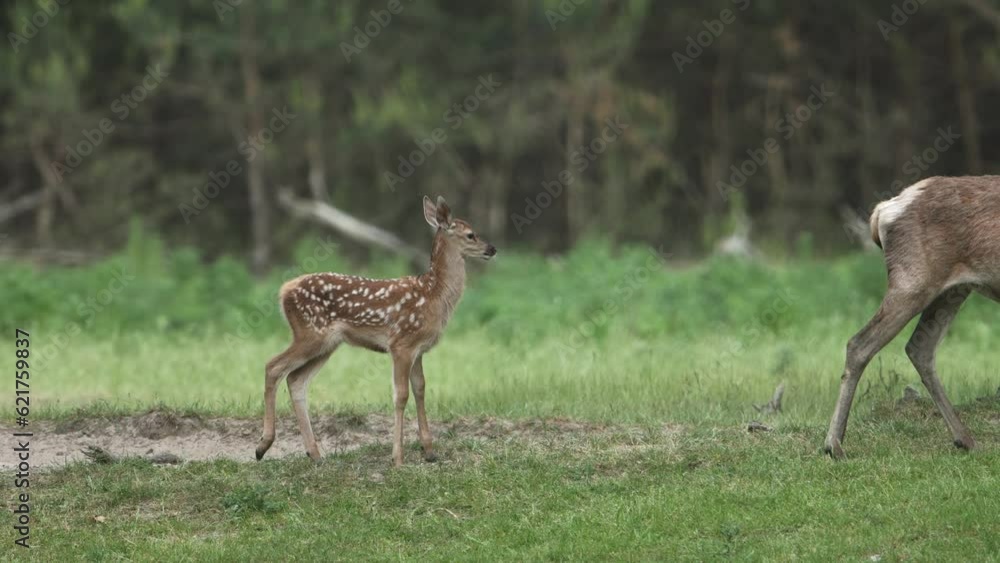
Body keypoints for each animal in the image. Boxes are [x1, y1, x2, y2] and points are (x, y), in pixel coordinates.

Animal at [255, 196, 497, 466]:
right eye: (470, 235)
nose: (492, 249)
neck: (434, 294)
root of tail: (285, 290)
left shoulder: (418, 349)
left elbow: (420, 389)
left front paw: (430, 451)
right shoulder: (401, 344)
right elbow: (401, 395)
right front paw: (398, 458)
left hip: (327, 343)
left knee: (296, 380)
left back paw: (315, 454)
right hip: (310, 333)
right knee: (273, 367)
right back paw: (263, 446)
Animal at [825, 176, 1000, 459]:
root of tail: (882, 211)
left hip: (953, 290)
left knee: (919, 347)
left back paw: (965, 439)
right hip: (913, 282)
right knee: (858, 344)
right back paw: (834, 445)